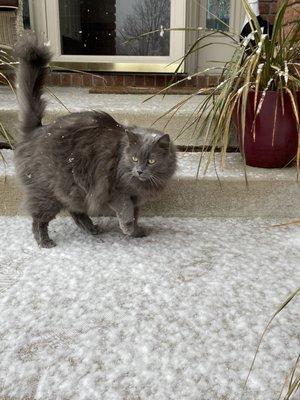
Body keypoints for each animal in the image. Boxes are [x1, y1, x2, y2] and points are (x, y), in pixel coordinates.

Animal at [14, 32, 177, 247]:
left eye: (151, 160)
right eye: (134, 158)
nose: (140, 171)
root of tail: (37, 130)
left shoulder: (136, 198)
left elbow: (135, 215)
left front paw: (136, 231)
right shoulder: (118, 192)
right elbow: (126, 211)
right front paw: (127, 228)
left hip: (74, 190)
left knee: (75, 212)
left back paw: (92, 229)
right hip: (49, 192)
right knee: (38, 219)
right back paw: (45, 242)